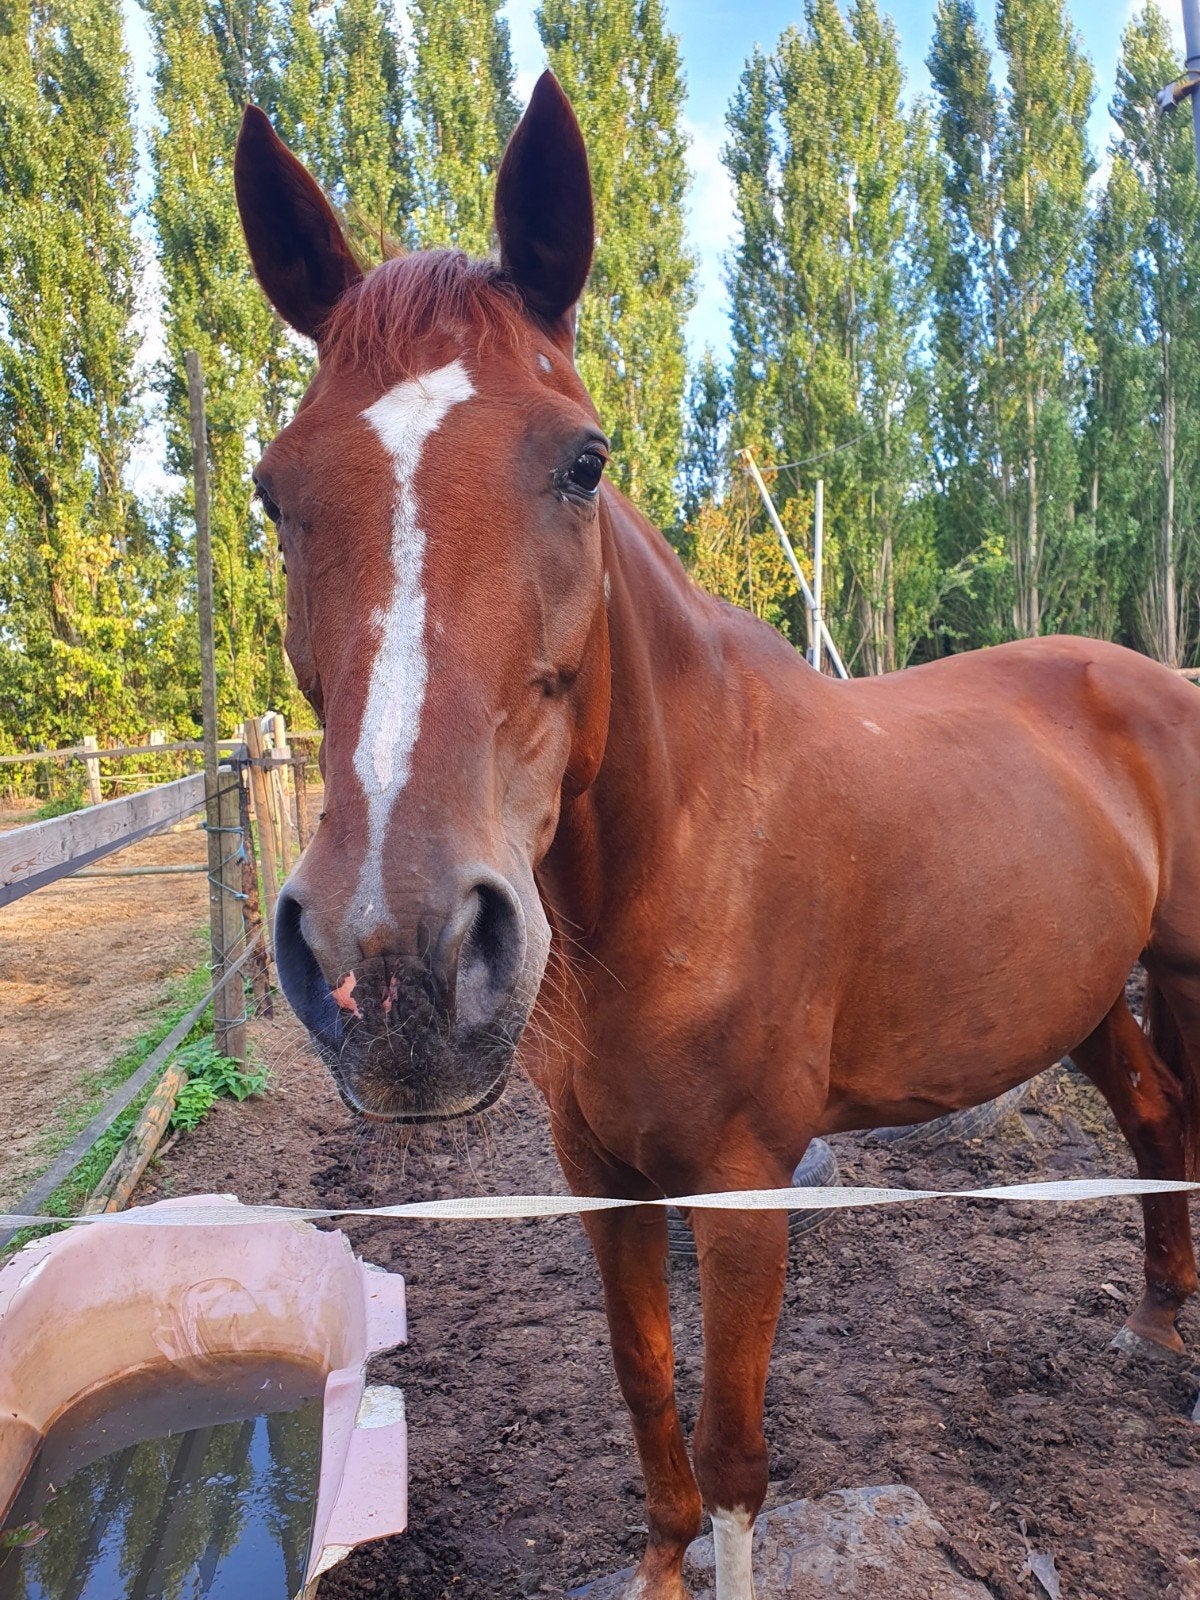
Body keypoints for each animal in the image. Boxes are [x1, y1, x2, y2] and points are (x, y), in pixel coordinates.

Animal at [233, 72, 1200, 1600]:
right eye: (275, 490)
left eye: (583, 461)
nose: (394, 963)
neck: (684, 860)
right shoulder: (601, 1179)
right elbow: (648, 1396)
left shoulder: (746, 1192)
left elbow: (738, 1451)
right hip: (1088, 993)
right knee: (1158, 1118)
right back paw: (1156, 1325)